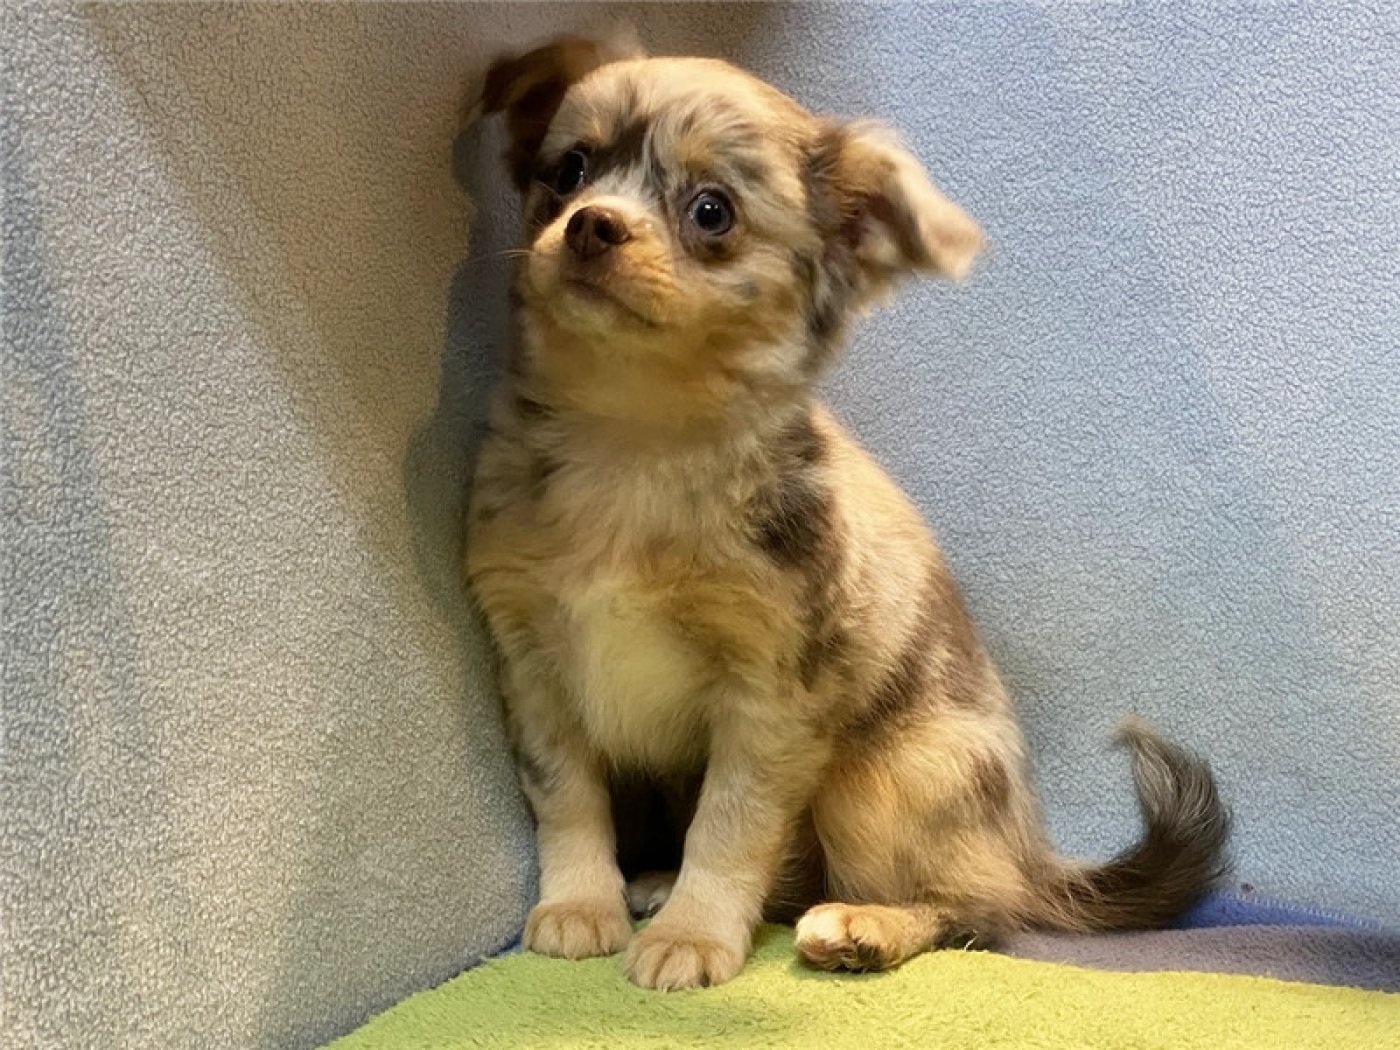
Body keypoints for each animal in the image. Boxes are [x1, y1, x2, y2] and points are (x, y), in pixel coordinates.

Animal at [466, 36, 1229, 991]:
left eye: (711, 212)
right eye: (568, 171)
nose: (591, 225)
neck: (635, 438)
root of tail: (1025, 854)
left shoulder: (769, 701)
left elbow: (730, 826)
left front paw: (694, 935)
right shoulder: (534, 666)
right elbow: (569, 800)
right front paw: (579, 904)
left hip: (877, 785)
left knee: (977, 914)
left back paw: (864, 926)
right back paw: (658, 883)